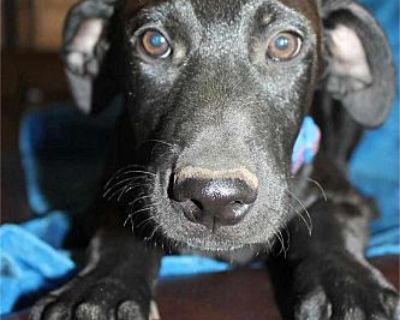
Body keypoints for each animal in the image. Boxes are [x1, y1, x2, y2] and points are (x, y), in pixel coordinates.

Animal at [32, 0, 398, 318]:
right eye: (154, 42)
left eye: (283, 44)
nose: (215, 200)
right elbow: (116, 228)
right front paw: (102, 290)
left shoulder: (345, 194)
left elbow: (328, 220)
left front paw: (350, 288)